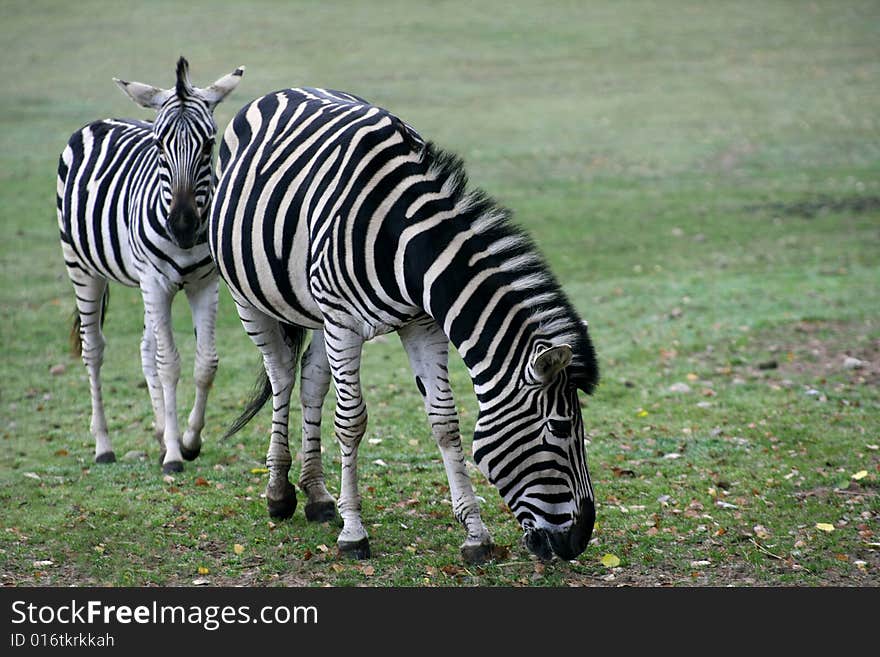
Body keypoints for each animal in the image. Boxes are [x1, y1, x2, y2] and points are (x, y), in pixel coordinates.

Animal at [58, 56, 244, 472]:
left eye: (210, 144)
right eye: (159, 144)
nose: (184, 226)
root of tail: (103, 120)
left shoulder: (204, 284)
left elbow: (205, 363)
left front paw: (188, 440)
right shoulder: (157, 283)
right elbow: (169, 364)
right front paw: (174, 454)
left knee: (145, 349)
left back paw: (160, 432)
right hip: (82, 267)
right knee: (94, 349)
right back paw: (104, 445)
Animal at [210, 86, 600, 560]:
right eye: (559, 429)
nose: (579, 540)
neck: (405, 239)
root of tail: (283, 90)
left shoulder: (421, 323)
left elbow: (444, 421)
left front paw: (476, 534)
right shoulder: (344, 323)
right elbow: (352, 421)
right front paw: (354, 532)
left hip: (317, 311)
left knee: (311, 381)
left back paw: (317, 496)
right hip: (247, 296)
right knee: (282, 376)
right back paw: (279, 493)